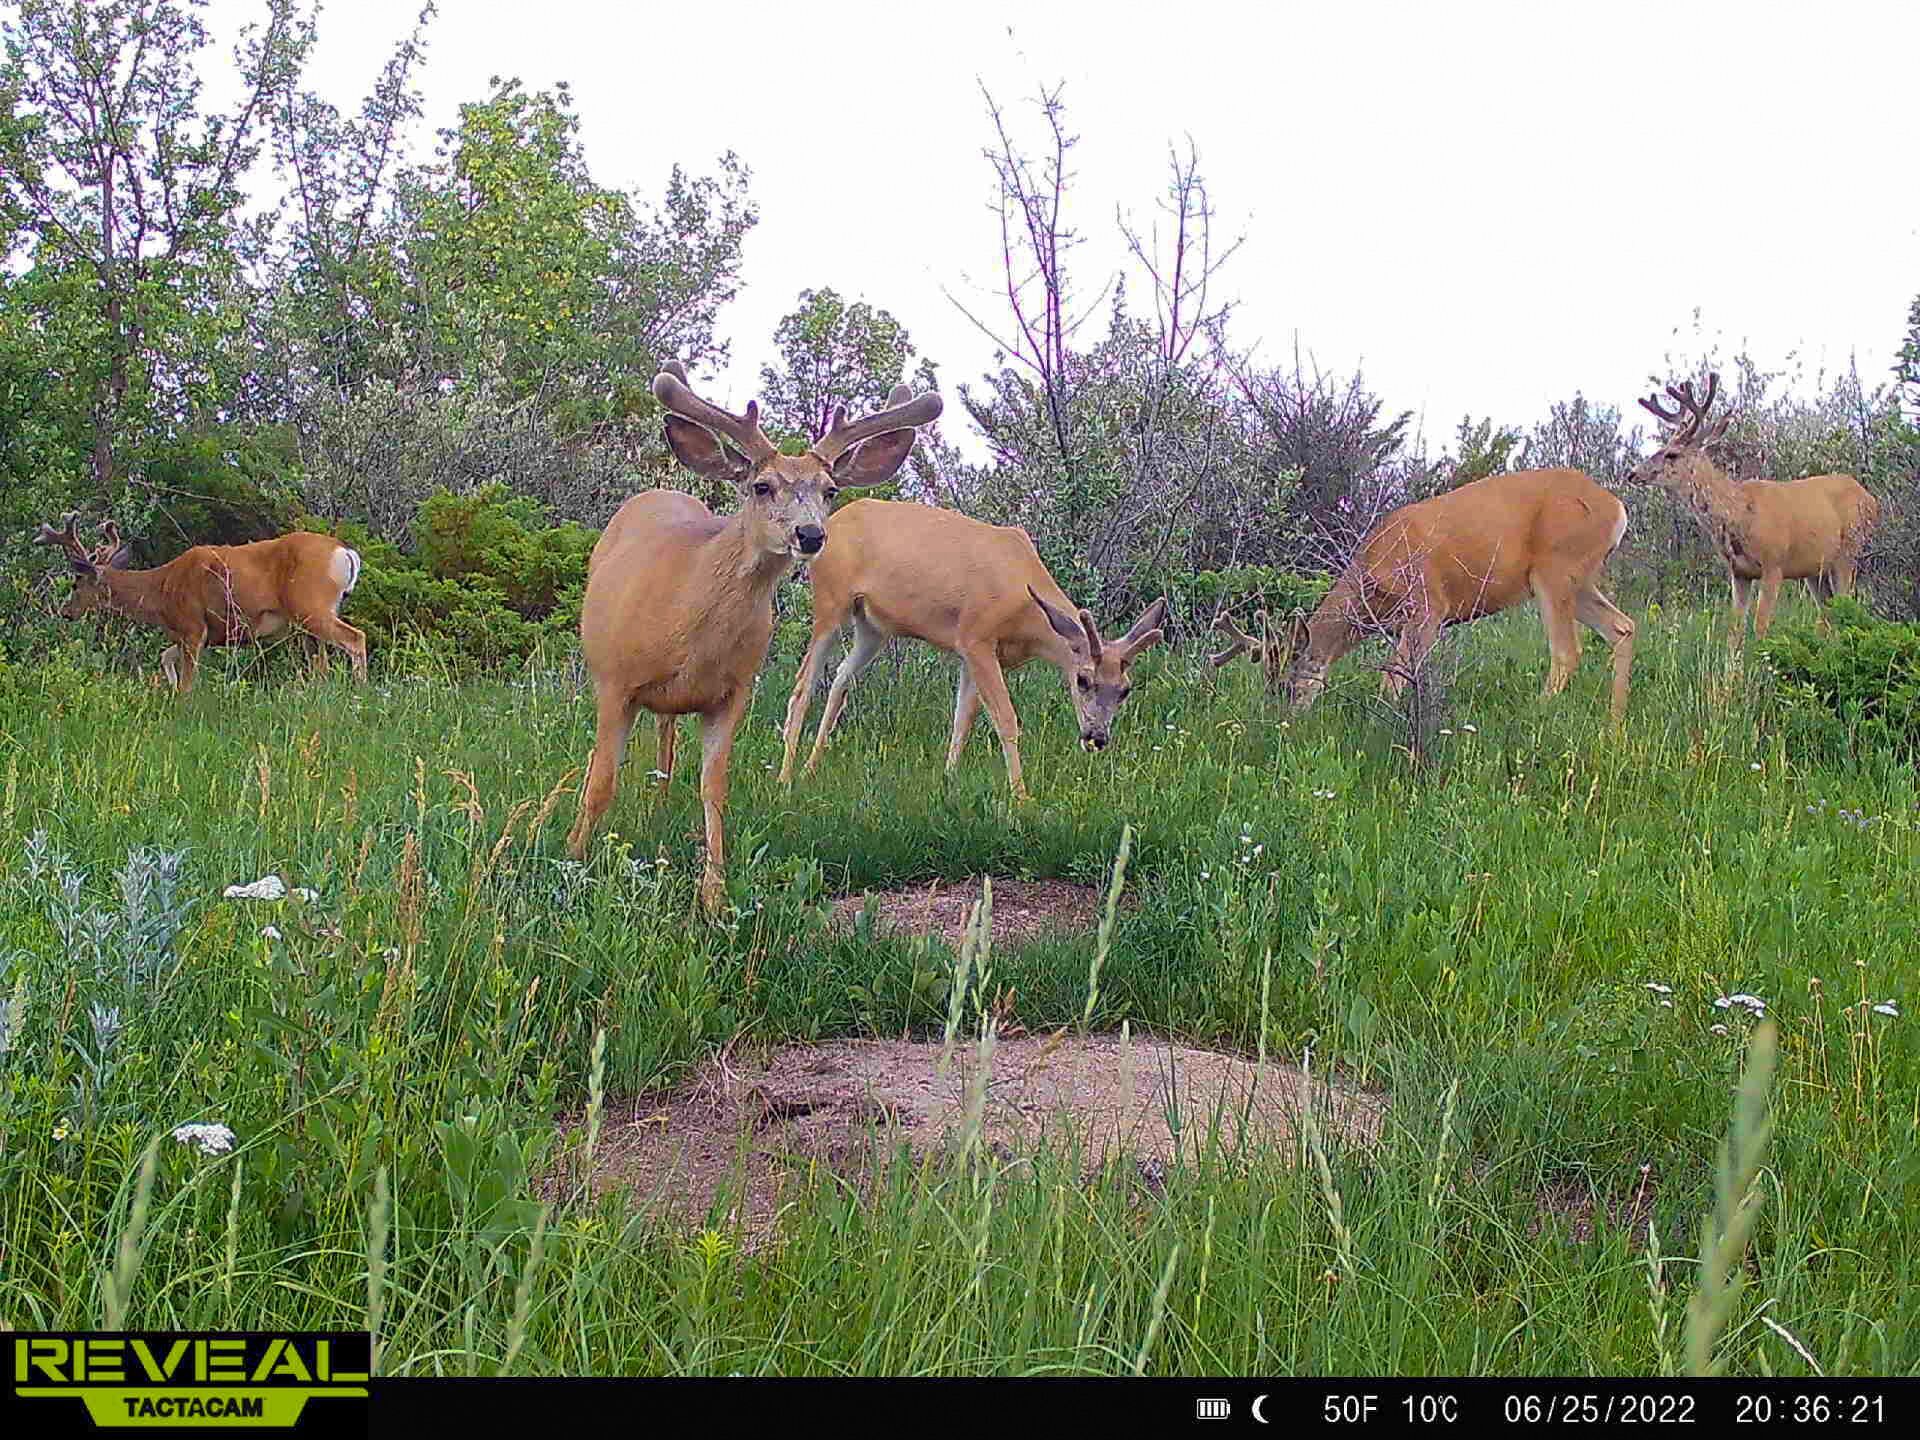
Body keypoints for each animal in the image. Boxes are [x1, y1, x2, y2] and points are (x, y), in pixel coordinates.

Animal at [32, 515, 367, 691]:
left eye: (76, 582)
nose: (66, 612)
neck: (162, 590)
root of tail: (345, 552)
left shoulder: (192, 626)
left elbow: (188, 681)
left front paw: (182, 702)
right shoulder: (198, 634)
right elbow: (165, 657)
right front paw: (169, 687)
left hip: (310, 606)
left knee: (355, 638)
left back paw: (360, 695)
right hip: (308, 624)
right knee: (322, 665)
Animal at [567, 364, 942, 915]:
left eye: (830, 490)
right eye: (762, 486)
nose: (811, 535)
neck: (690, 630)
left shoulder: (734, 691)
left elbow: (714, 788)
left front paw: (714, 895)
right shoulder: (616, 681)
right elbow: (601, 782)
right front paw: (572, 858)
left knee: (666, 743)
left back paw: (659, 806)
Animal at [778, 487, 1170, 799]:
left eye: (1125, 690)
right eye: (1082, 679)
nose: (1096, 736)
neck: (1026, 611)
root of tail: (831, 524)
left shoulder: (970, 653)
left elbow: (962, 720)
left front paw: (948, 782)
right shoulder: (976, 637)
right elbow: (1006, 719)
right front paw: (1021, 798)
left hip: (872, 627)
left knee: (840, 679)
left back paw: (811, 769)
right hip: (830, 602)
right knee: (802, 686)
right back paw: (785, 779)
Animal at [1215, 468, 1637, 720]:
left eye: (1288, 686)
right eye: (1269, 687)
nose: (1281, 723)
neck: (1373, 574)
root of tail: (1617, 507)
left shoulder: (1429, 606)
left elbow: (1392, 677)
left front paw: (1380, 724)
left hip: (1556, 568)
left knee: (1567, 650)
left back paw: (1537, 712)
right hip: (1579, 580)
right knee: (1623, 627)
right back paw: (1615, 723)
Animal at [1632, 372, 1879, 653]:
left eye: (1672, 454)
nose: (1632, 473)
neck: (1739, 514)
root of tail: (1870, 497)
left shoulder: (1774, 563)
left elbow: (1760, 625)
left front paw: (1762, 660)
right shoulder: (1739, 572)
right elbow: (1734, 630)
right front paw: (1733, 664)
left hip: (1848, 551)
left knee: (1845, 603)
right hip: (1813, 569)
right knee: (1827, 610)